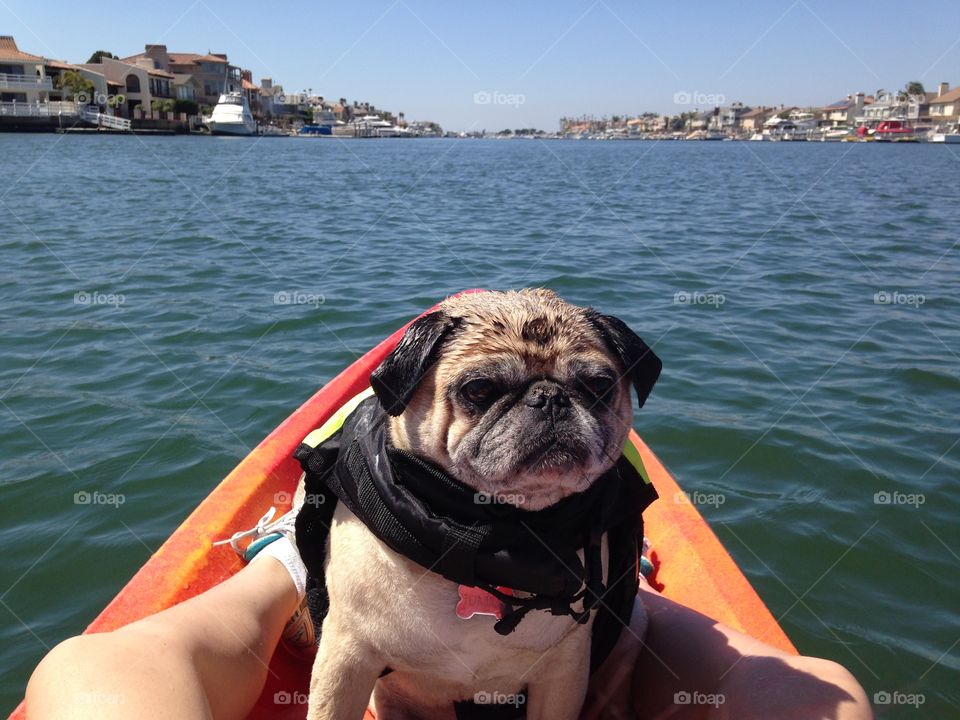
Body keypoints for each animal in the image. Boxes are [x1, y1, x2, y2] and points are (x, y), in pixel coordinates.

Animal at [306, 290, 660, 716]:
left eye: (599, 385)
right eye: (478, 390)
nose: (550, 397)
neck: (486, 528)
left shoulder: (563, 672)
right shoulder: (346, 656)